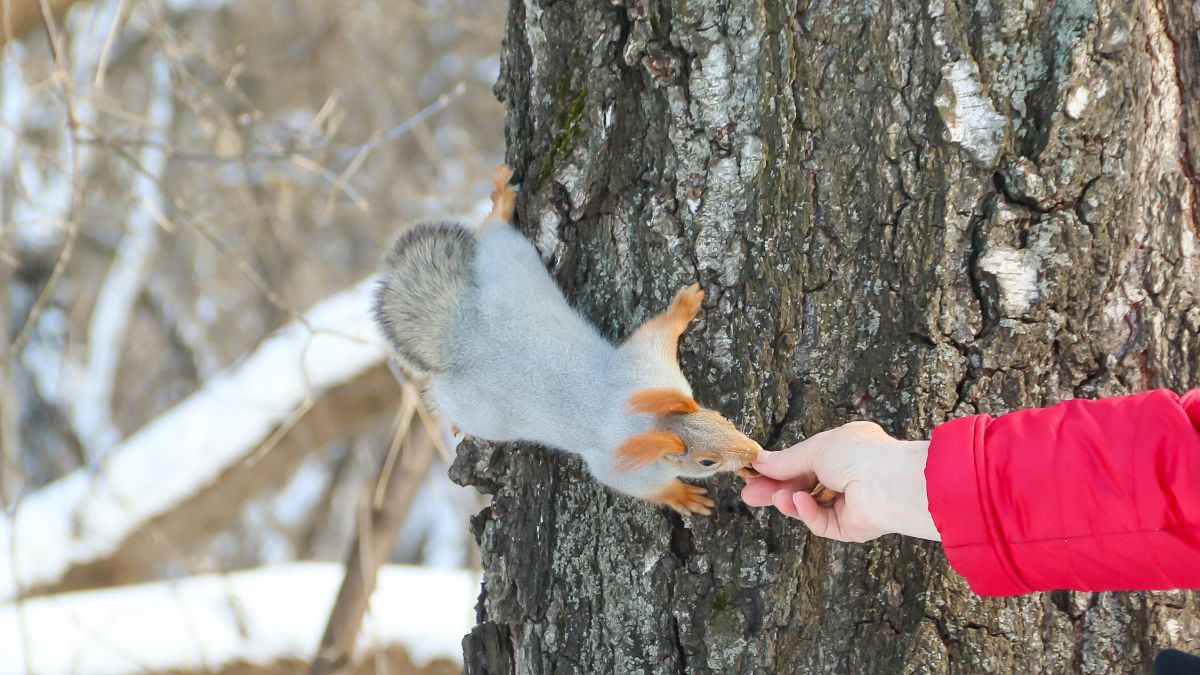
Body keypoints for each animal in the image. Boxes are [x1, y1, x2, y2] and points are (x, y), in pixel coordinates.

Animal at [369, 165, 763, 511]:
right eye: (706, 462)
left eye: (722, 418)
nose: (754, 452)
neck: (647, 422)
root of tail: (466, 335)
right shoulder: (622, 464)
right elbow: (643, 487)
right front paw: (683, 497)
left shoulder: (648, 370)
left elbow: (657, 331)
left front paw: (684, 306)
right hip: (478, 410)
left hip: (512, 269)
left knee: (496, 236)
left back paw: (502, 202)